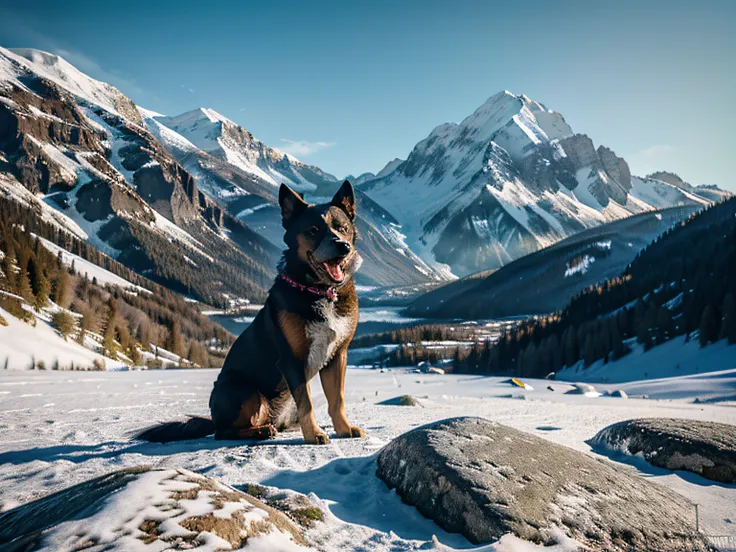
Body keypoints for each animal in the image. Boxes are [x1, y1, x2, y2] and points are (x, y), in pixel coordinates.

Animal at [136, 181, 366, 444]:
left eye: (343, 228)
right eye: (313, 229)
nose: (342, 246)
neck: (319, 291)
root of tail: (213, 417)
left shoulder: (338, 355)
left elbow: (337, 400)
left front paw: (344, 429)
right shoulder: (292, 359)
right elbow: (307, 403)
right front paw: (314, 434)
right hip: (244, 390)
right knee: (224, 432)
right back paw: (261, 431)